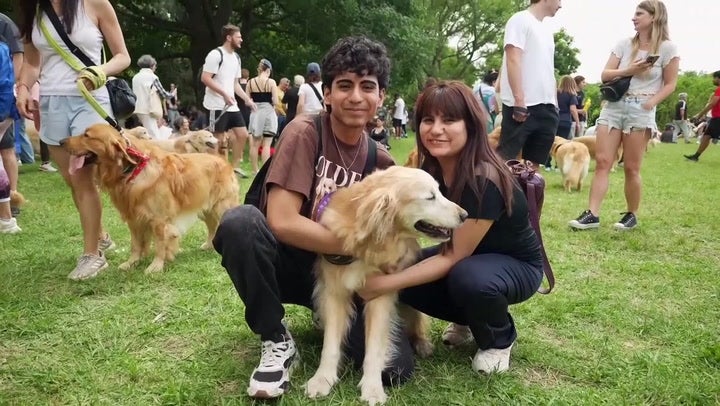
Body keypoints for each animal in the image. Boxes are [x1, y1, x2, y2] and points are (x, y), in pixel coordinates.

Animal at [61, 124, 239, 274]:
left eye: (87, 135)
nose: (61, 141)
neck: (133, 169)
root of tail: (223, 161)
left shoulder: (159, 220)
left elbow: (160, 244)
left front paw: (156, 266)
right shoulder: (134, 218)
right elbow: (135, 244)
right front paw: (131, 262)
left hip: (221, 207)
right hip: (205, 210)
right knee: (212, 226)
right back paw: (209, 245)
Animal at [305, 166, 467, 405]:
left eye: (439, 192)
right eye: (430, 197)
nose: (465, 215)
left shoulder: (380, 295)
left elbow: (374, 349)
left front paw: (372, 389)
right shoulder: (334, 292)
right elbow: (330, 345)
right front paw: (322, 379)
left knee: (417, 323)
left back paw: (422, 344)